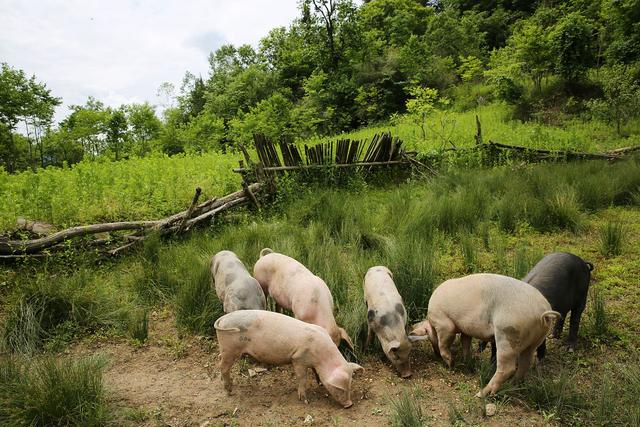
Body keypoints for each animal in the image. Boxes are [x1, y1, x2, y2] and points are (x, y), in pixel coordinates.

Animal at [215, 310, 364, 408]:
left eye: (350, 385)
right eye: (340, 389)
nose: (349, 404)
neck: (321, 357)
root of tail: (221, 320)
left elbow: (315, 373)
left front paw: (319, 383)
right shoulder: (298, 359)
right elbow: (302, 378)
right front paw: (305, 401)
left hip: (225, 349)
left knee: (219, 361)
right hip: (230, 349)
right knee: (223, 366)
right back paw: (229, 390)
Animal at [410, 274, 560, 398]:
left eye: (429, 338)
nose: (434, 355)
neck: (431, 321)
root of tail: (542, 312)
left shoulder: (444, 324)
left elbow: (444, 343)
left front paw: (450, 363)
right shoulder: (466, 329)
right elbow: (465, 342)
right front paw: (466, 360)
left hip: (507, 335)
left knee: (507, 368)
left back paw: (481, 394)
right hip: (535, 340)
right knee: (526, 363)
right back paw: (512, 385)